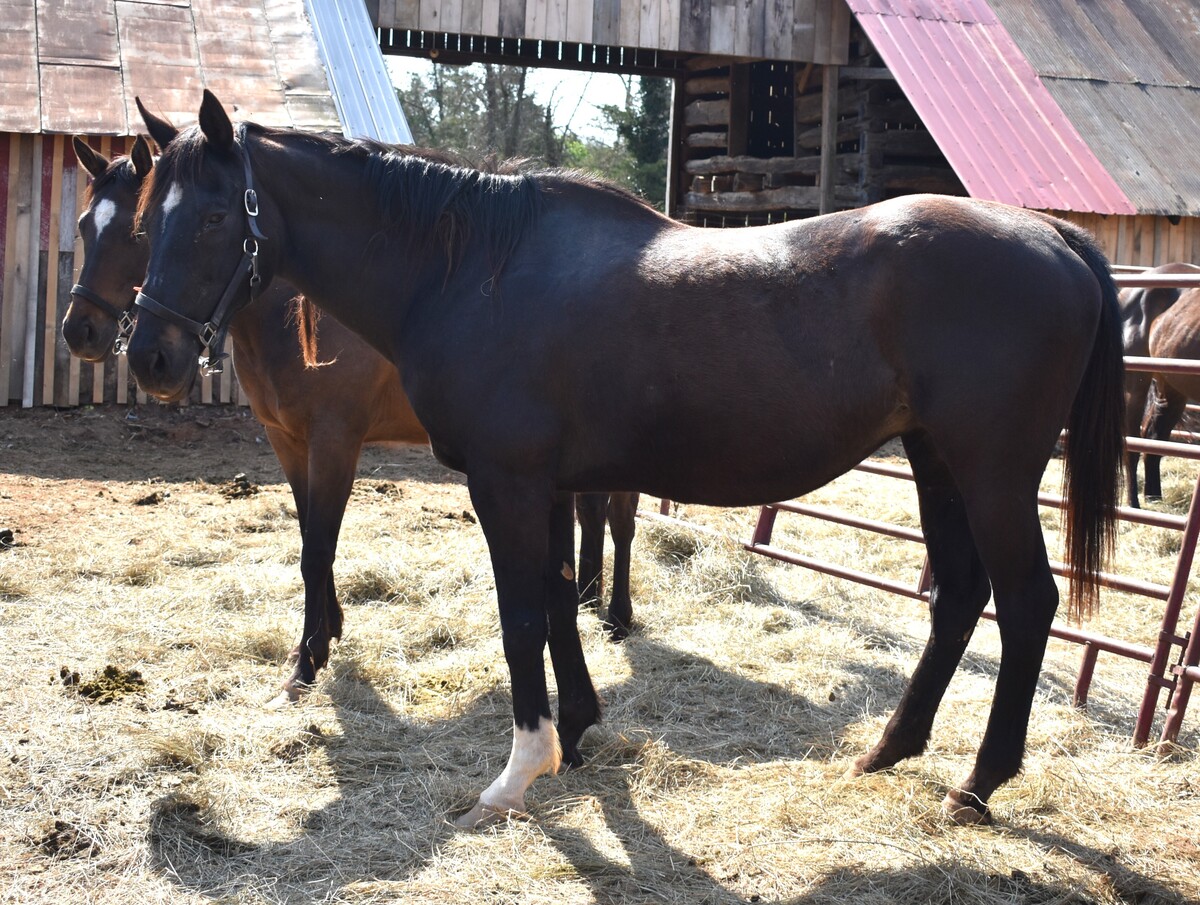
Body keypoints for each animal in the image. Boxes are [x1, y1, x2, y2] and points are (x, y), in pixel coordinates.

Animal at [62, 132, 638, 711]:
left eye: (134, 232)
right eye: (87, 226)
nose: (80, 331)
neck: (294, 318)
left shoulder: (335, 442)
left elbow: (318, 549)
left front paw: (307, 661)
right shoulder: (288, 442)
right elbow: (309, 536)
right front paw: (327, 630)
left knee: (621, 519)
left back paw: (617, 613)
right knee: (591, 512)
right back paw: (588, 596)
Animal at [126, 91, 1124, 828]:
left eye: (212, 216)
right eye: (144, 223)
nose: (151, 357)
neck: (473, 272)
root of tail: (1054, 237)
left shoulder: (506, 482)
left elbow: (523, 614)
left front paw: (519, 771)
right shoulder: (548, 484)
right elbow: (561, 596)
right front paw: (578, 730)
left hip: (992, 471)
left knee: (1026, 602)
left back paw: (977, 784)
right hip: (935, 459)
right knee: (959, 595)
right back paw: (888, 751)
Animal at [1118, 262, 1200, 507]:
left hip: (1171, 387)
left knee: (1154, 439)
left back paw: (1153, 500)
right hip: (1136, 385)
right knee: (1133, 444)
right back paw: (1134, 505)